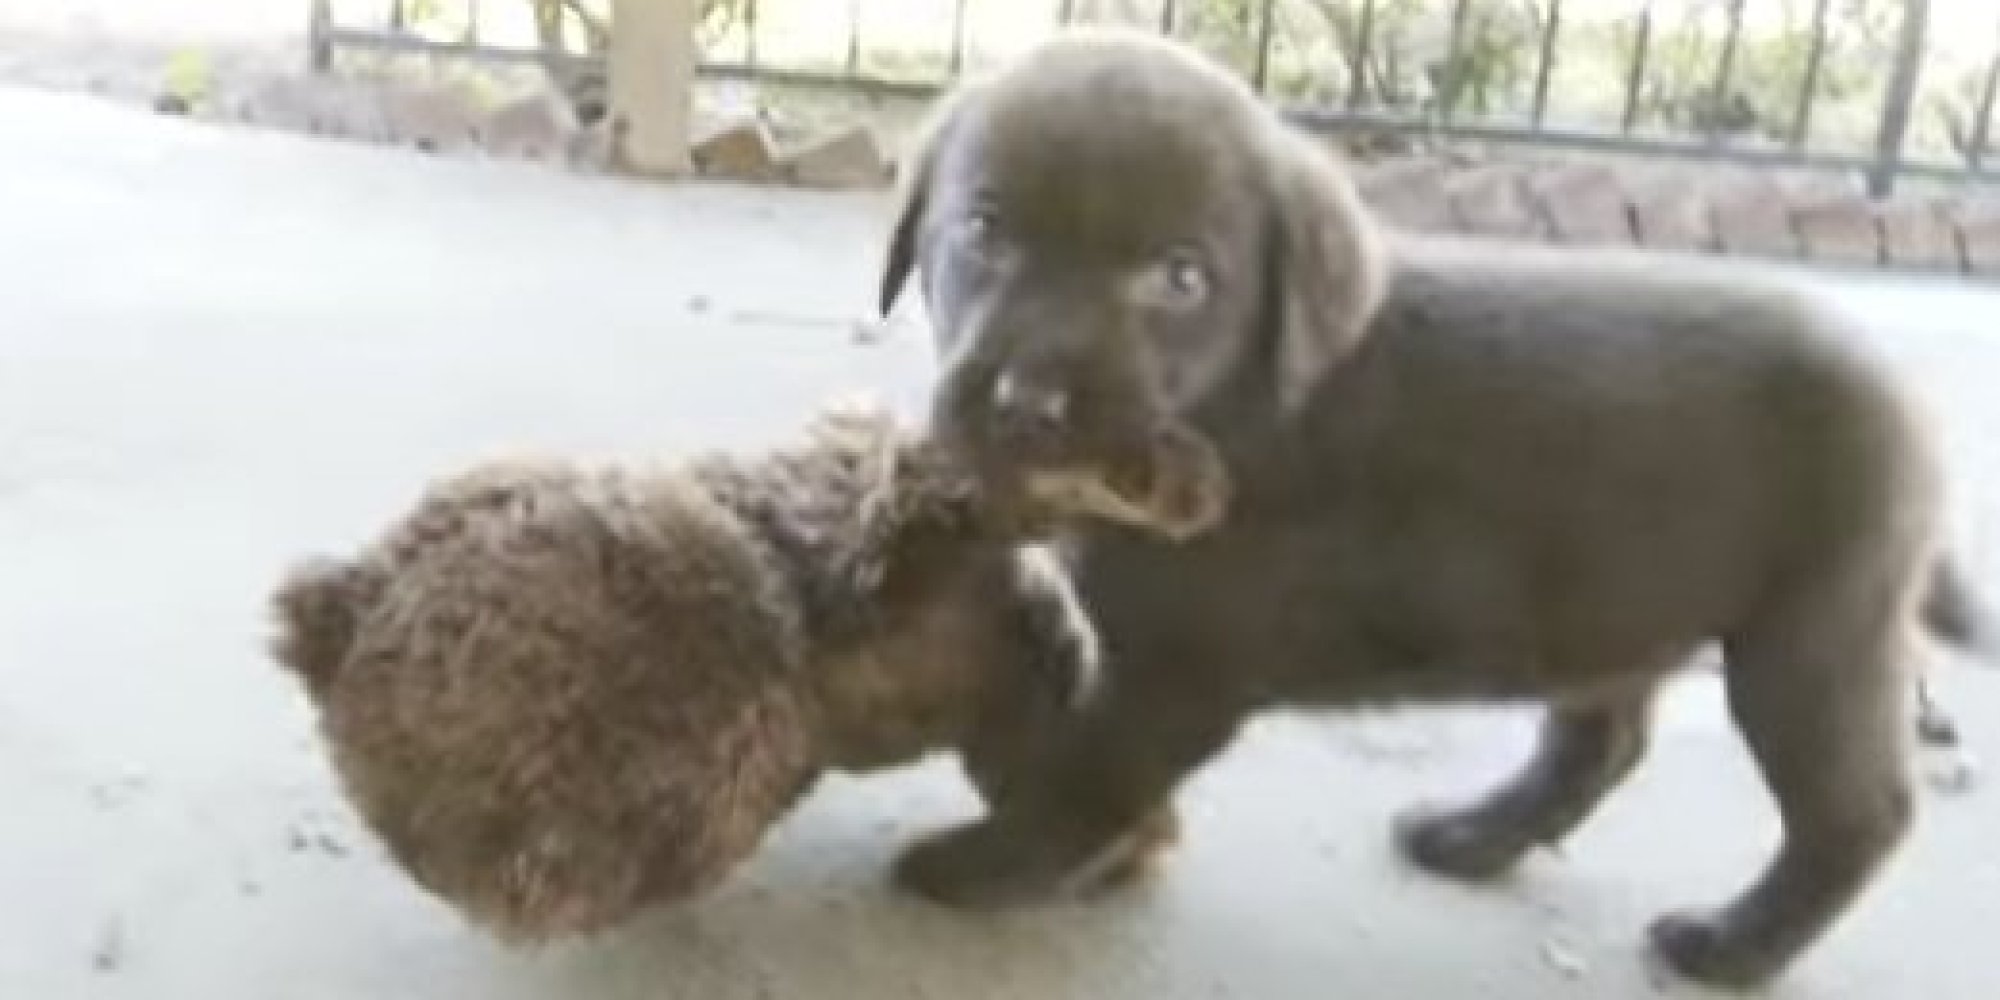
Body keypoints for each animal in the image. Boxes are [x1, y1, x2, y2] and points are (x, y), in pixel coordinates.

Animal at [884, 27, 1992, 988]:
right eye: (983, 229)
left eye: (1181, 278)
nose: (1028, 408)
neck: (1236, 410)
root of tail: (1904, 407)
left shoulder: (1180, 668)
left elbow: (1091, 774)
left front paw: (993, 862)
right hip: (1610, 607)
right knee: (1599, 743)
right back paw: (1475, 837)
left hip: (1812, 633)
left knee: (1858, 812)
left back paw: (1732, 947)